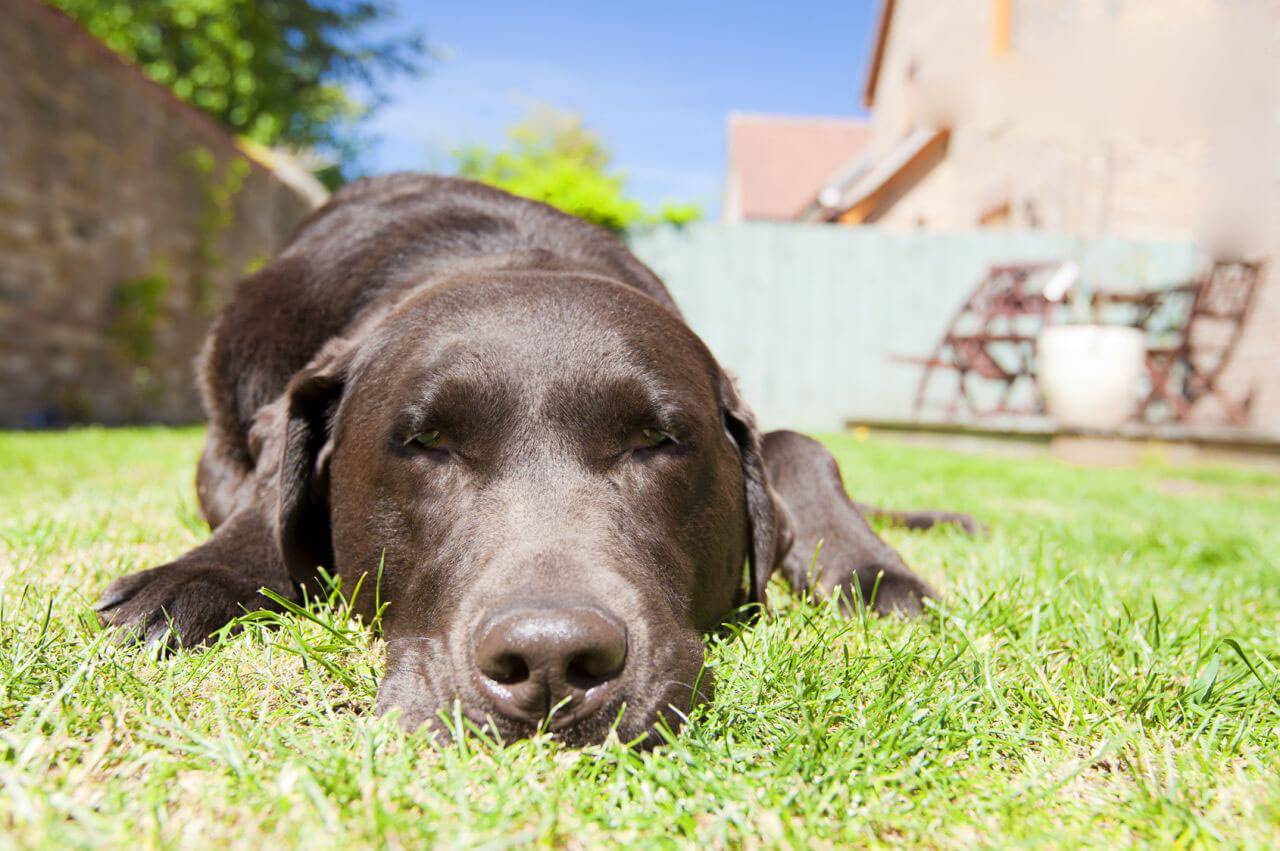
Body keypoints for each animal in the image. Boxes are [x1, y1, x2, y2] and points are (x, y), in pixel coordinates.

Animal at [94, 174, 972, 742]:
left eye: (656, 440)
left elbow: (800, 443)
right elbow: (258, 505)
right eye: (426, 443)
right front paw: (195, 578)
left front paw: (873, 572)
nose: (552, 658)